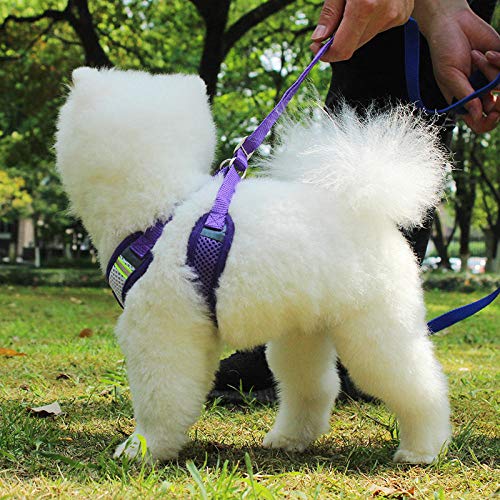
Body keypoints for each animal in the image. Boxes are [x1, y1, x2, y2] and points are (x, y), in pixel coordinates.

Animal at [55, 66, 454, 464]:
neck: (160, 208)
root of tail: (373, 208)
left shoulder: (161, 328)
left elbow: (161, 397)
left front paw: (144, 448)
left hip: (375, 326)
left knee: (419, 384)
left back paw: (422, 449)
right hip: (303, 330)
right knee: (315, 386)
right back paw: (289, 438)